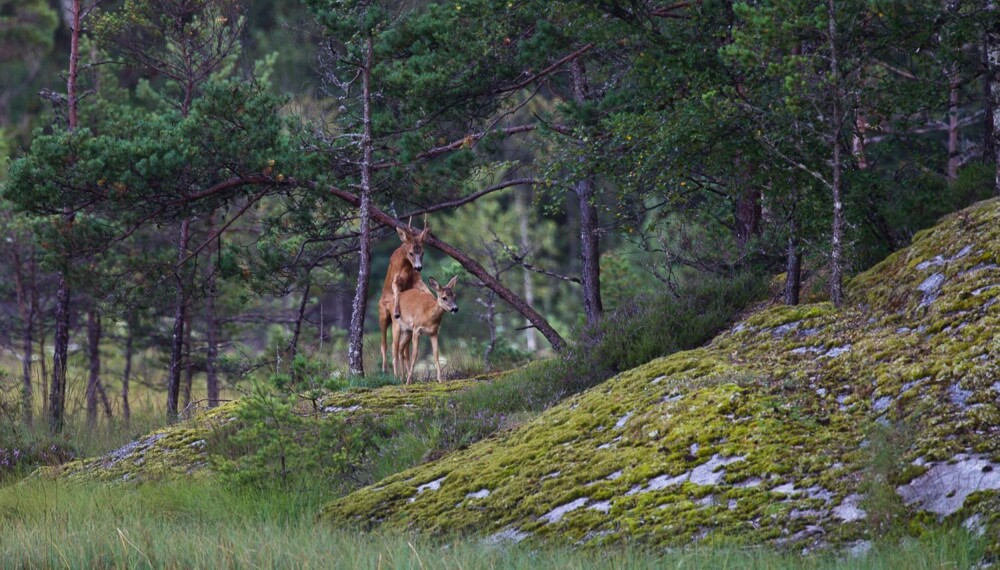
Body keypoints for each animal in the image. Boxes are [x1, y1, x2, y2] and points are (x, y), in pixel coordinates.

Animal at [376, 216, 432, 372]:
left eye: (423, 253)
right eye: (411, 252)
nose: (419, 267)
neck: (406, 266)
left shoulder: (416, 279)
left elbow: (427, 289)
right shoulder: (396, 280)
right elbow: (396, 292)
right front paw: (396, 311)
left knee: (404, 350)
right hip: (382, 316)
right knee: (384, 344)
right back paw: (385, 369)